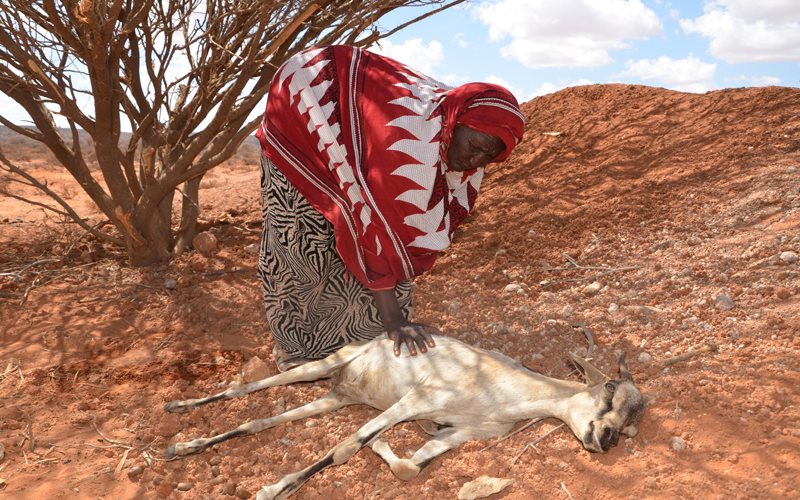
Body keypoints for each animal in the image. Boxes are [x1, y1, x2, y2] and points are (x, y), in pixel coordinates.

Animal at [164, 335, 645, 500]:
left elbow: (410, 468)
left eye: (629, 429)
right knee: (249, 389)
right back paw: (176, 413)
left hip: (333, 400)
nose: (605, 439)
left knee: (259, 423)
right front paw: (271, 490)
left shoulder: (458, 434)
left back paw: (181, 446)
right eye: (610, 391)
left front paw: (383, 447)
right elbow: (345, 448)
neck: (499, 392)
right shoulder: (415, 401)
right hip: (316, 369)